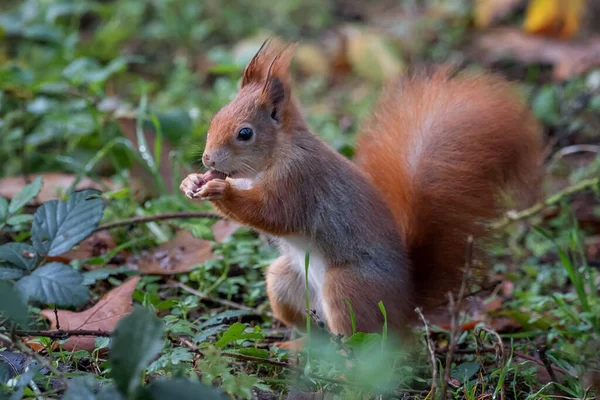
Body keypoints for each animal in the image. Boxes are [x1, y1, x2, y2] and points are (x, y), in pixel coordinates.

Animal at [179, 41, 544, 344]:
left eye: (245, 133)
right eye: (215, 118)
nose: (208, 159)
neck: (276, 154)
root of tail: (406, 305)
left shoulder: (299, 179)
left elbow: (273, 214)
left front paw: (219, 191)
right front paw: (192, 182)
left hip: (347, 287)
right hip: (284, 281)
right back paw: (302, 345)